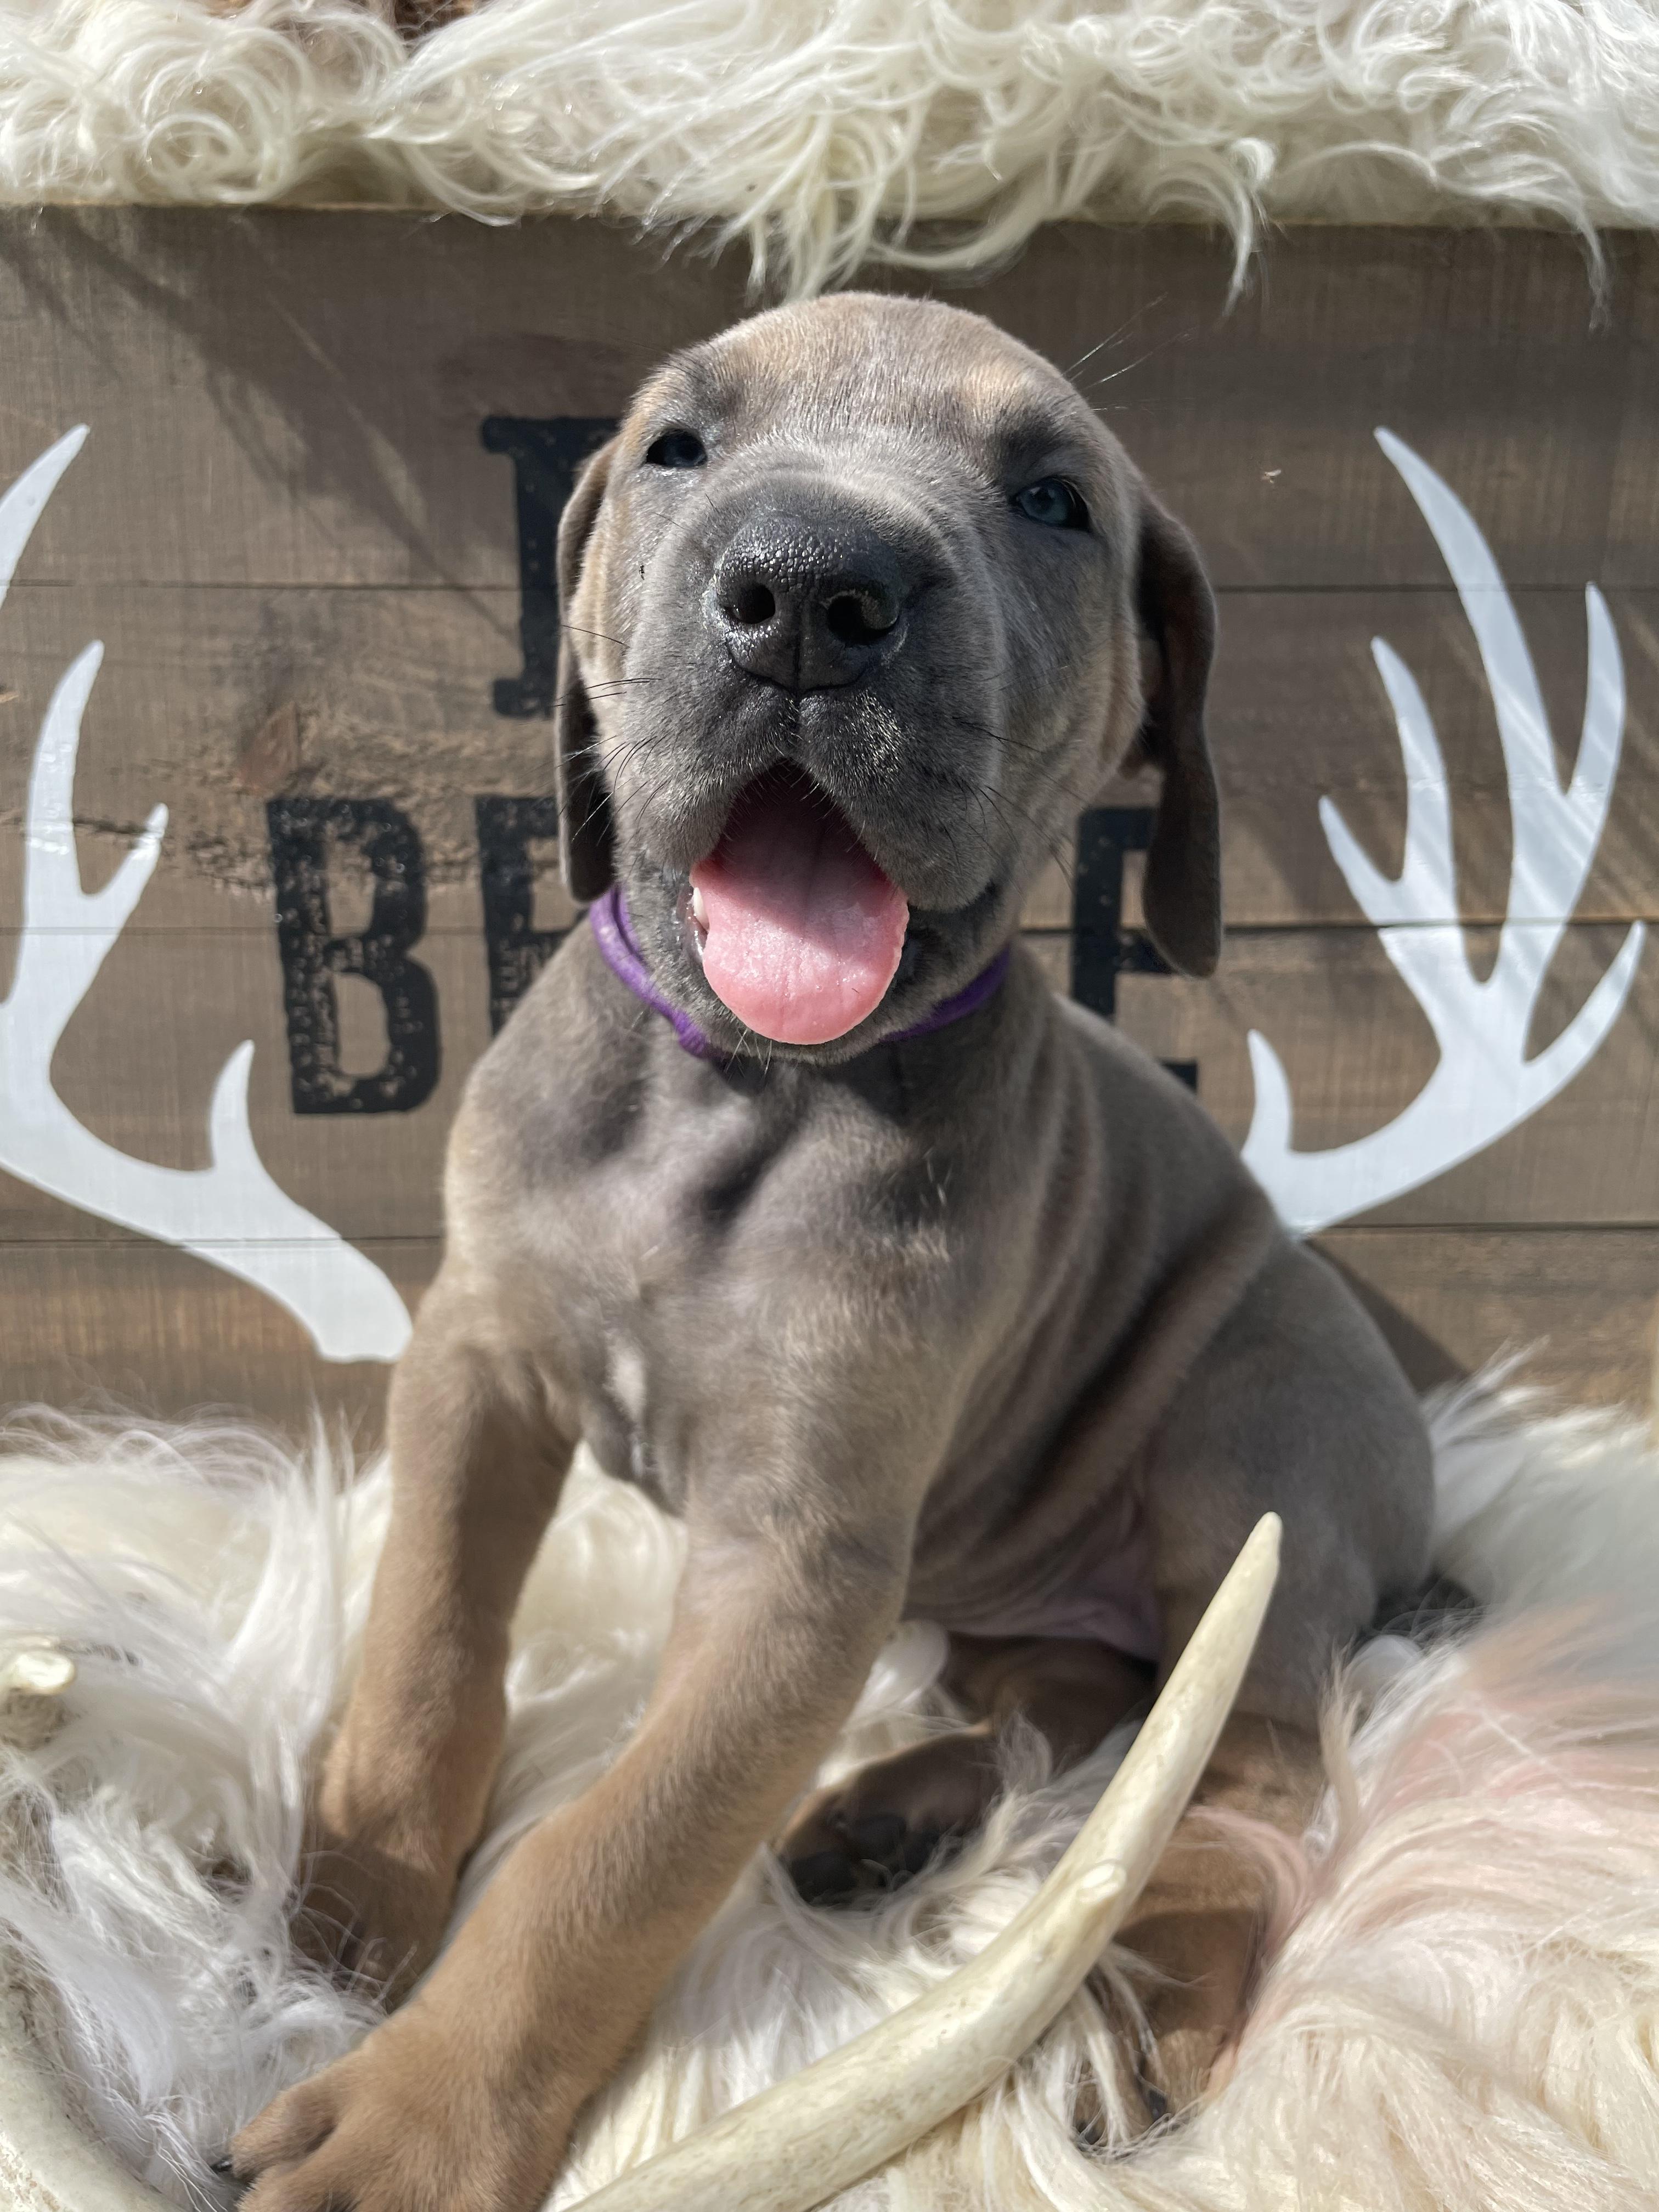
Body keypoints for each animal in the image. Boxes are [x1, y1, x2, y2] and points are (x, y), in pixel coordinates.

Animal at [233, 293, 1434, 2212]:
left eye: (1052, 500)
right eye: (676, 448)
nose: (811, 590)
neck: (738, 1088)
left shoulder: (795, 1570)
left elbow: (612, 1859)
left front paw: (411, 2125)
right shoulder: (476, 1359)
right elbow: (425, 1642)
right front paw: (346, 1908)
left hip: (1249, 1460)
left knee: (1237, 1775)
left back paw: (1145, 2001)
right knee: (1077, 1694)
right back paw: (886, 1823)